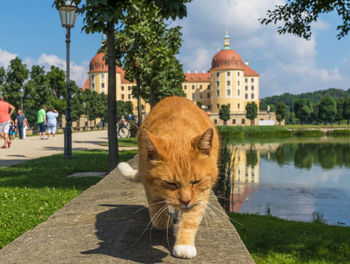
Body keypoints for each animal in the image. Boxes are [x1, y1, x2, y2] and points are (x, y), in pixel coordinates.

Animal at [117, 96, 219, 258]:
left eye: (196, 181)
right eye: (170, 183)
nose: (185, 201)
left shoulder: (201, 194)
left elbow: (191, 218)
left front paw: (184, 244)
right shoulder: (150, 186)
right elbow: (157, 212)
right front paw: (165, 221)